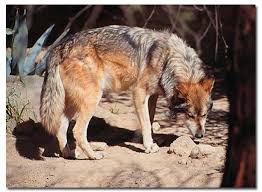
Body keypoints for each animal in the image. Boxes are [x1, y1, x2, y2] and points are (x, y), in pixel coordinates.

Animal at [39, 25, 215, 160]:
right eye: (190, 115)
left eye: (204, 115)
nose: (200, 136)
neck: (167, 60)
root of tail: (60, 46)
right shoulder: (139, 92)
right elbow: (145, 122)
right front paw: (148, 146)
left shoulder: (153, 95)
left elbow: (149, 119)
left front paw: (147, 140)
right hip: (93, 99)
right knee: (77, 131)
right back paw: (93, 156)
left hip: (74, 103)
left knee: (61, 128)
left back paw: (70, 154)